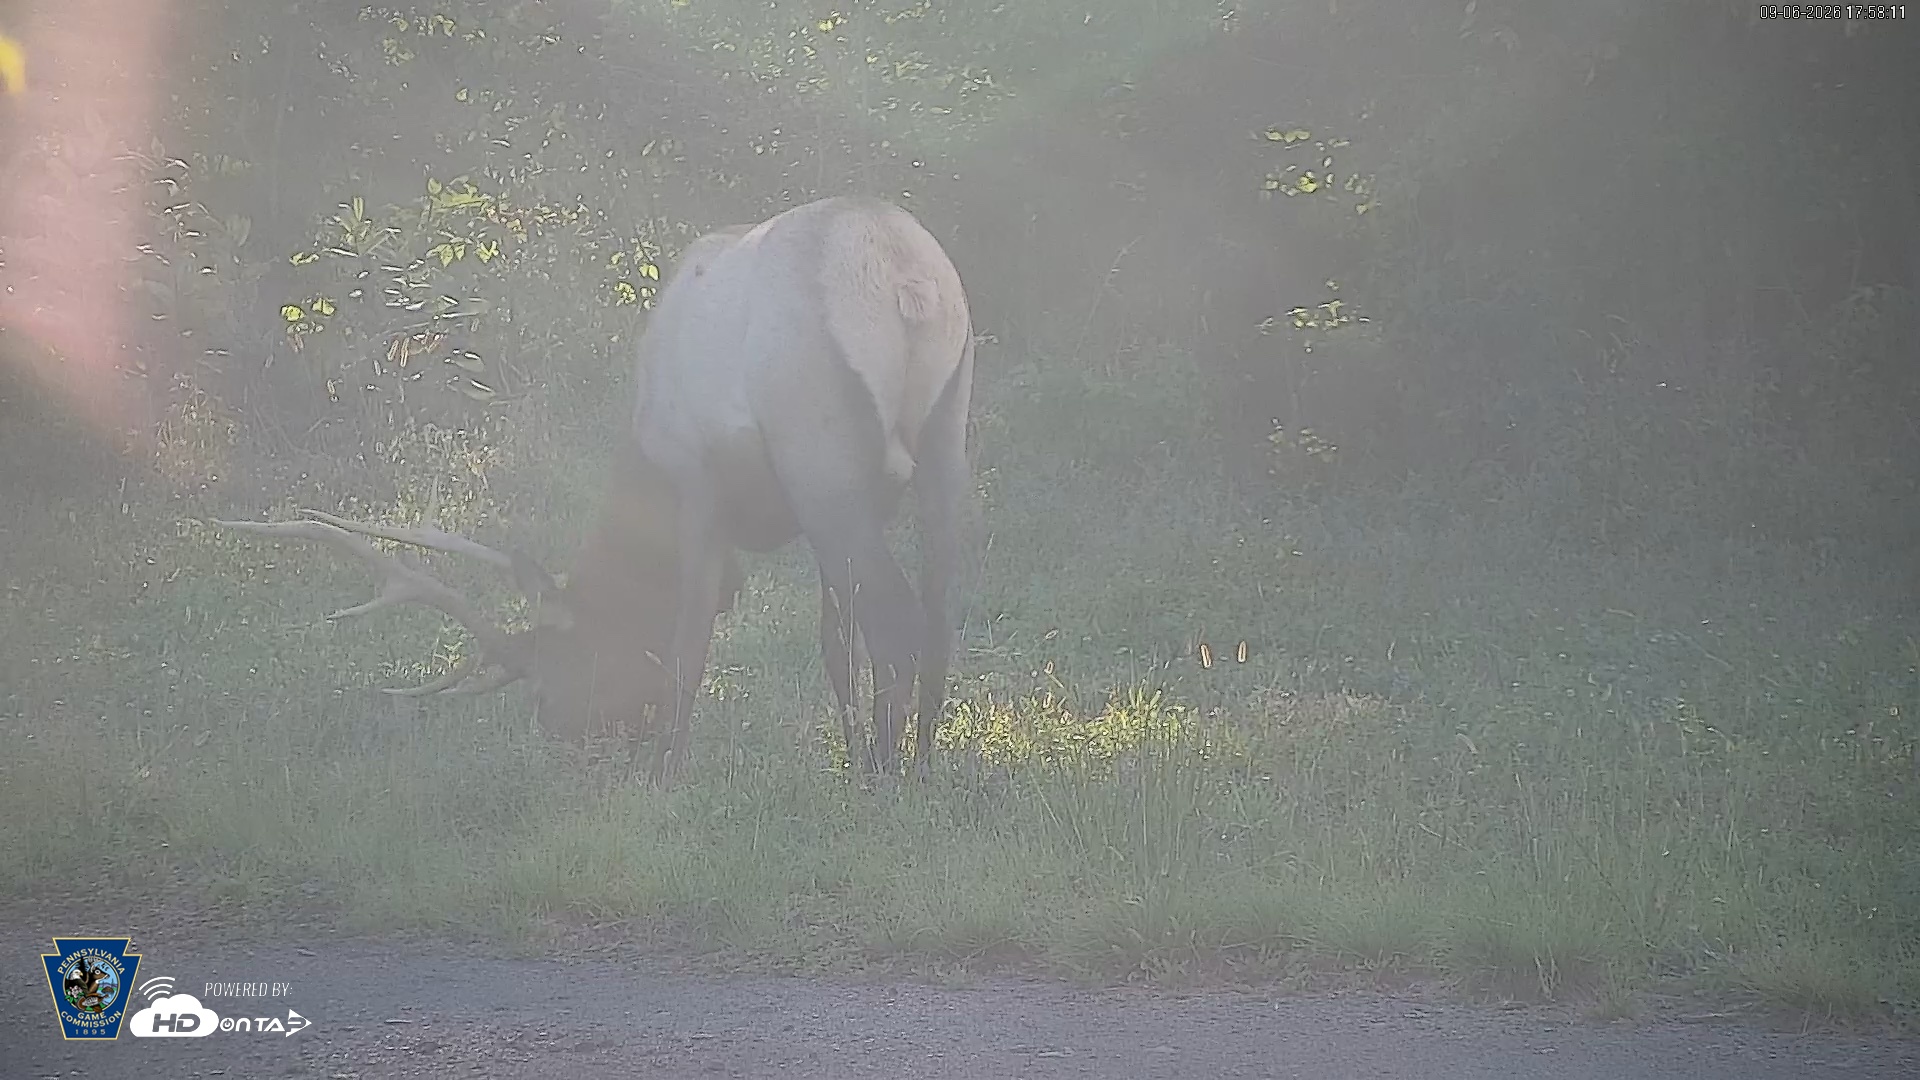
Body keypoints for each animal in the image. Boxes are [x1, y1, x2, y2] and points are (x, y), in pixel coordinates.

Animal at [214, 196, 974, 783]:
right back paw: (922, 767)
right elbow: (833, 644)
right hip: (946, 428)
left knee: (897, 617)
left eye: (550, 672)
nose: (565, 737)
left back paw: (884, 779)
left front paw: (666, 775)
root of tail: (910, 282)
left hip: (819, 445)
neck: (643, 474)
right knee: (939, 611)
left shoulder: (697, 478)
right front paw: (842, 750)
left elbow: (688, 645)